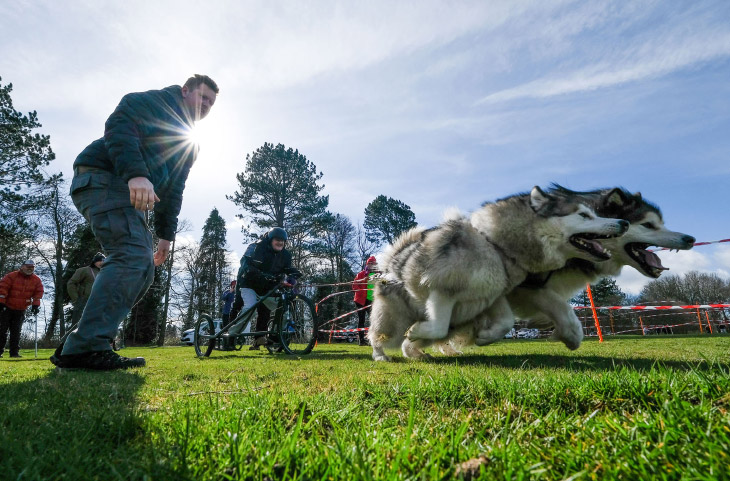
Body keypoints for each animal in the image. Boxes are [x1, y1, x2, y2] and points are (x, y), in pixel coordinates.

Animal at [366, 185, 628, 360]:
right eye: (584, 215)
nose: (623, 223)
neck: (496, 247)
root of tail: (390, 266)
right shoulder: (443, 290)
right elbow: (439, 323)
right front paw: (419, 329)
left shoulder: (492, 295)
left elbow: (506, 322)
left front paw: (485, 336)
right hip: (393, 320)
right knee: (378, 337)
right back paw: (382, 355)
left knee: (411, 343)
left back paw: (419, 353)